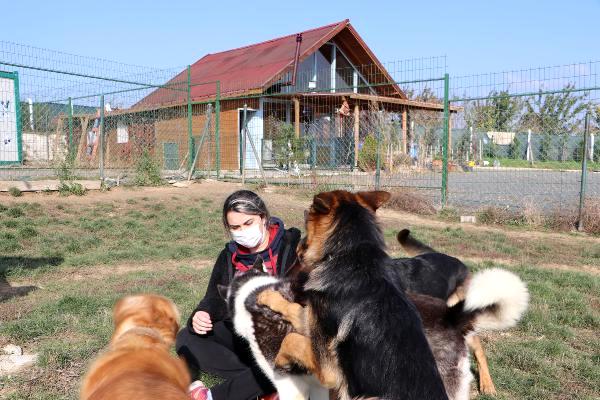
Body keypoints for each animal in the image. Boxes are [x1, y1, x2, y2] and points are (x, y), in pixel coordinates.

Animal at [255, 191, 528, 400]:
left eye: (301, 243)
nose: (281, 273)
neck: (354, 255)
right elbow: (293, 311)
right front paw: (269, 297)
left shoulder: (327, 364)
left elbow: (290, 339)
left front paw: (279, 362)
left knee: (479, 346)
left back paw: (488, 384)